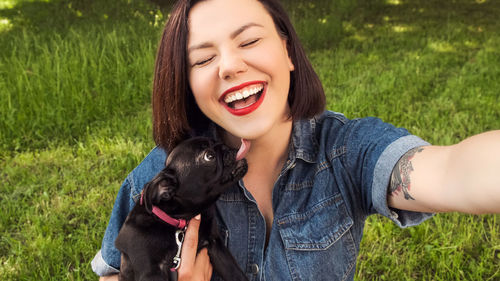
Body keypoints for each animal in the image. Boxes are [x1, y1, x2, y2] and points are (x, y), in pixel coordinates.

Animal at [114, 137, 249, 278]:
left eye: (217, 141)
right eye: (209, 156)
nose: (225, 147)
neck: (178, 219)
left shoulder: (216, 246)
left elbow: (235, 273)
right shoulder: (150, 272)